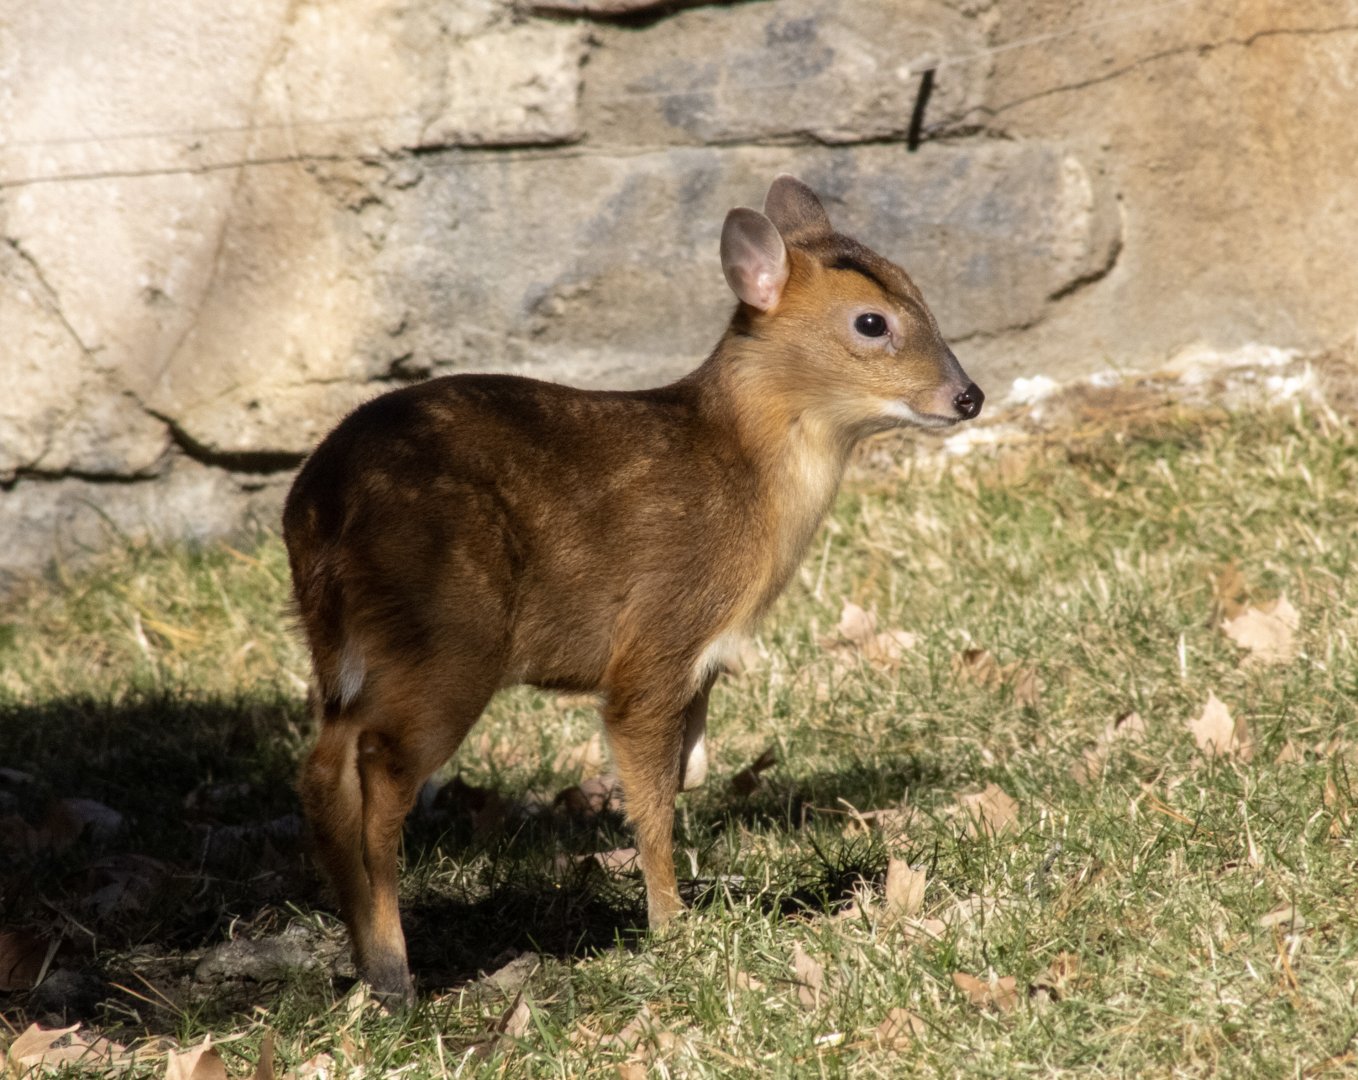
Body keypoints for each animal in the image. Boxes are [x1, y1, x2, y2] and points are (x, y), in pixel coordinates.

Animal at [283, 175, 984, 1003]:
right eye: (872, 321)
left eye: (918, 291)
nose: (968, 396)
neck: (748, 483)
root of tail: (319, 507)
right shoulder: (656, 639)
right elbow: (650, 794)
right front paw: (672, 925)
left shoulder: (701, 663)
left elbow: (688, 772)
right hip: (448, 633)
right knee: (382, 774)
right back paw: (396, 973)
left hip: (343, 644)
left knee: (323, 767)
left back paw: (366, 963)